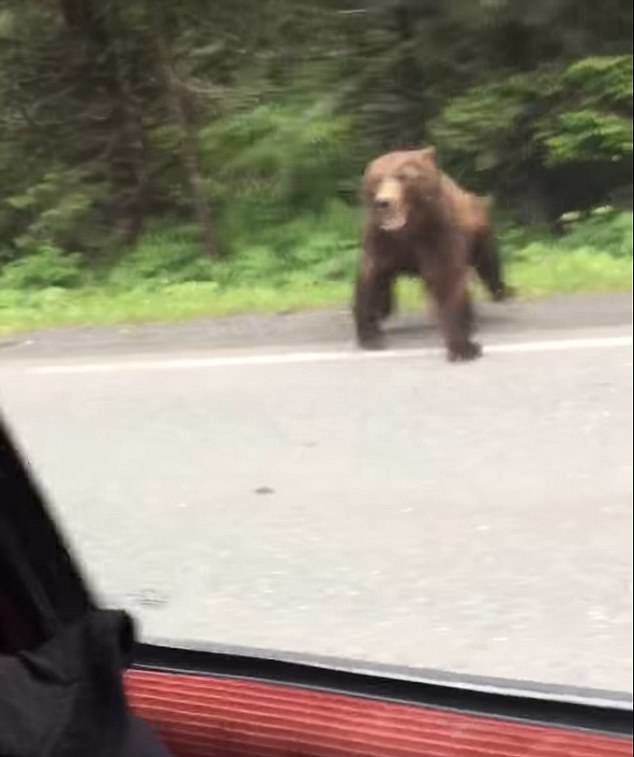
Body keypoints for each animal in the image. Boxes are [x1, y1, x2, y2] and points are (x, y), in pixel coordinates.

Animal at [353, 147, 514, 361]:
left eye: (404, 177)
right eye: (377, 179)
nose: (384, 202)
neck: (408, 230)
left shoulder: (438, 234)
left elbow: (448, 279)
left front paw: (464, 347)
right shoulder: (382, 241)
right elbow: (369, 279)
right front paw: (371, 336)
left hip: (480, 231)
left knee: (488, 264)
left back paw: (500, 293)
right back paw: (385, 308)